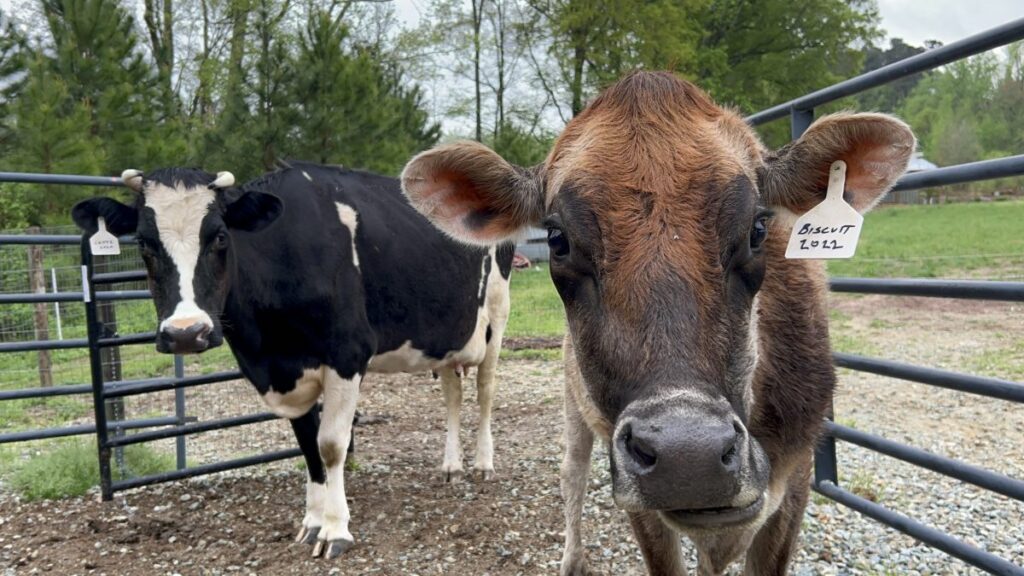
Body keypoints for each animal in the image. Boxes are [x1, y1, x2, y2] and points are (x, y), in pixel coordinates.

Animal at [71, 161, 513, 559]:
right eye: (144, 243)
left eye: (219, 238)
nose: (185, 332)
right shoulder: (286, 371)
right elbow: (307, 446)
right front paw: (313, 522)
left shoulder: (347, 353)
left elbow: (331, 444)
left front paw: (335, 530)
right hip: (448, 337)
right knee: (453, 394)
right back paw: (452, 466)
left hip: (495, 317)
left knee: (485, 391)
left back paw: (483, 463)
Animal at [400, 71, 914, 575]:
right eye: (558, 239)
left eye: (757, 229)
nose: (688, 457)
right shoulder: (639, 501)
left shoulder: (797, 478)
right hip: (572, 396)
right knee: (571, 473)